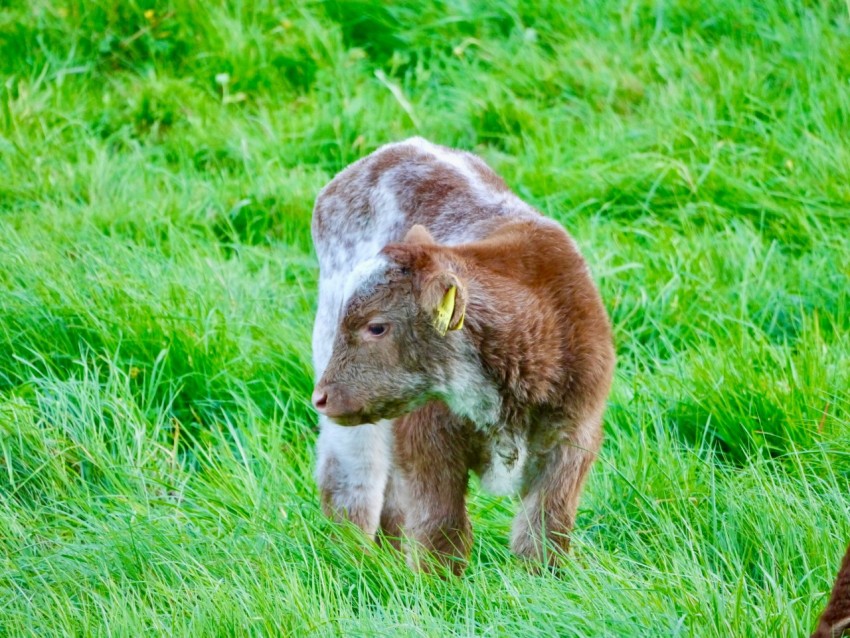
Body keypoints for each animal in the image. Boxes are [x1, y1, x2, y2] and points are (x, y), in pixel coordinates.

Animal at [308, 136, 612, 576]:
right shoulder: (427, 439)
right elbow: (440, 527)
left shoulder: (574, 437)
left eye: (377, 327)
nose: (321, 397)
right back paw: (351, 557)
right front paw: (436, 584)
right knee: (351, 479)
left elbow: (544, 527)